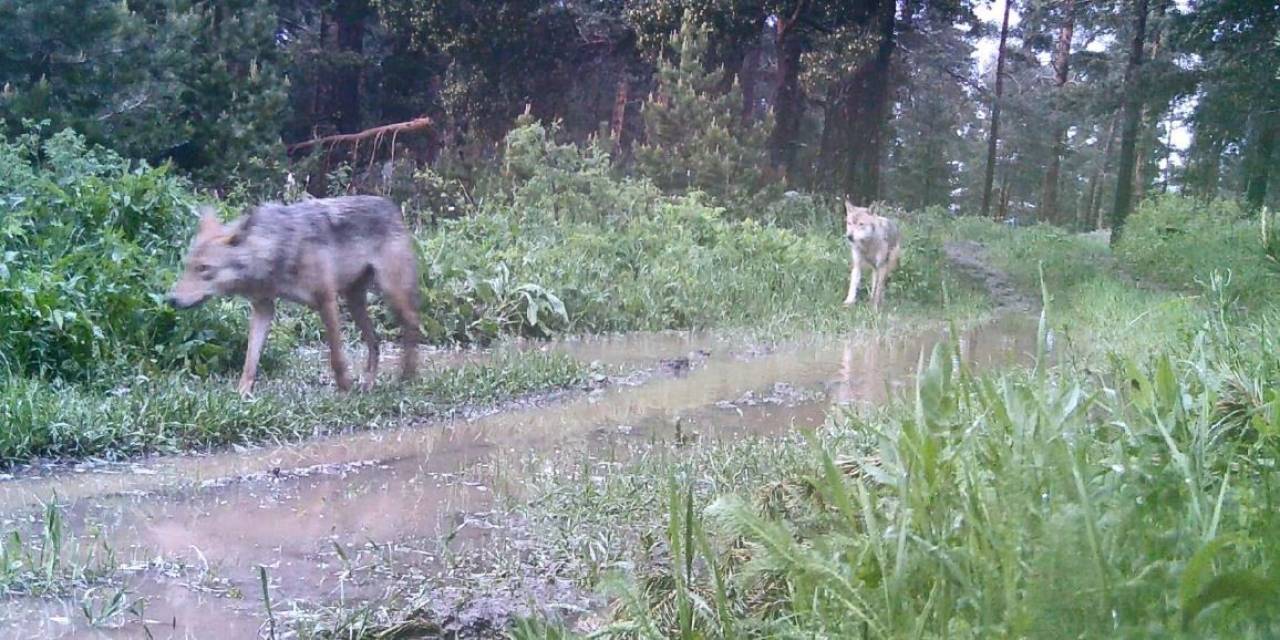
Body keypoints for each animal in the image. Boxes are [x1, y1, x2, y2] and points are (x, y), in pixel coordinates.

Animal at [166, 194, 419, 394]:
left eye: (204, 269)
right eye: (187, 266)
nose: (171, 299)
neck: (274, 250)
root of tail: (391, 206)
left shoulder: (326, 300)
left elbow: (336, 357)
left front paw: (345, 389)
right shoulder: (263, 308)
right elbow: (250, 360)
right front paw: (241, 394)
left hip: (391, 296)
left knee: (412, 325)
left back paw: (407, 377)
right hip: (354, 302)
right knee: (375, 343)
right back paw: (369, 384)